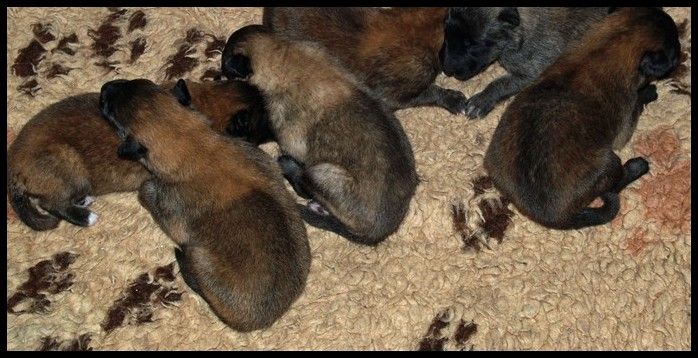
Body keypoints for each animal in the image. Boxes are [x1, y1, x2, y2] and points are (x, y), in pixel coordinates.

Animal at [98, 78, 308, 332]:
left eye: (110, 112)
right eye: (143, 82)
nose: (105, 87)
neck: (192, 141)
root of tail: (257, 321)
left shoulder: (170, 209)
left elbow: (146, 190)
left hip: (199, 256)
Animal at [440, 7, 608, 118]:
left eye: (472, 44)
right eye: (446, 32)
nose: (446, 69)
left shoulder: (536, 70)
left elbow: (500, 84)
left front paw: (482, 100)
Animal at [482, 7, 676, 229]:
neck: (611, 42)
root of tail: (549, 217)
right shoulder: (626, 122)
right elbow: (638, 103)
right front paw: (649, 92)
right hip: (608, 163)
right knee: (615, 185)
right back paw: (636, 167)